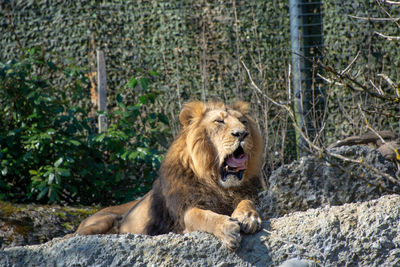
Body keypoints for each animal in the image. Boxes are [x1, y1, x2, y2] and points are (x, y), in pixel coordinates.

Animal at [73, 101, 264, 251]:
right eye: (219, 121)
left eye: (244, 122)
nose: (242, 133)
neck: (218, 185)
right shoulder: (183, 212)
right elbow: (202, 216)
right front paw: (226, 227)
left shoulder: (245, 193)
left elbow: (247, 201)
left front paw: (248, 216)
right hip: (103, 220)